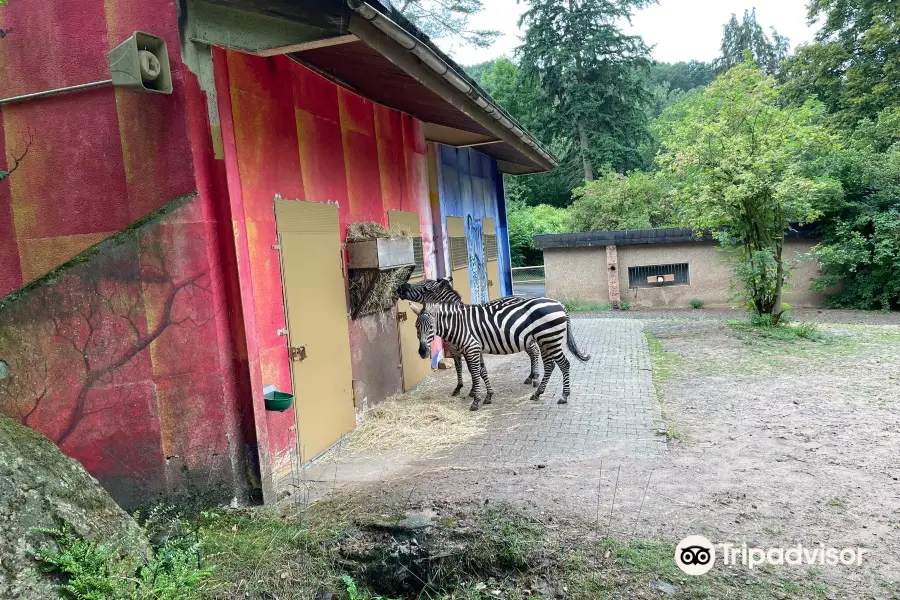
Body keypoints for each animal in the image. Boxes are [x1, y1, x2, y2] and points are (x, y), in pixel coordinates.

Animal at [400, 278, 540, 400]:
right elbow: (465, 368)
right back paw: (531, 376)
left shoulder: (467, 347)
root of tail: (521, 297)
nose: (401, 287)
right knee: (532, 352)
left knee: (535, 351)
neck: (456, 321)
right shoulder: (458, 349)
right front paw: (465, 389)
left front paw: (472, 391)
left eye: (425, 287)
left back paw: (535, 377)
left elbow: (474, 369)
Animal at [408, 298, 592, 410]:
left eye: (431, 327)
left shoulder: (471, 348)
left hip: (550, 339)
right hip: (544, 341)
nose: (423, 352)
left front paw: (476, 401)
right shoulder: (475, 348)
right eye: (416, 327)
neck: (459, 325)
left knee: (564, 364)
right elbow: (482, 371)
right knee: (549, 364)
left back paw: (564, 396)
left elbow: (475, 373)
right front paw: (488, 396)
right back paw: (537, 393)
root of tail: (560, 304)